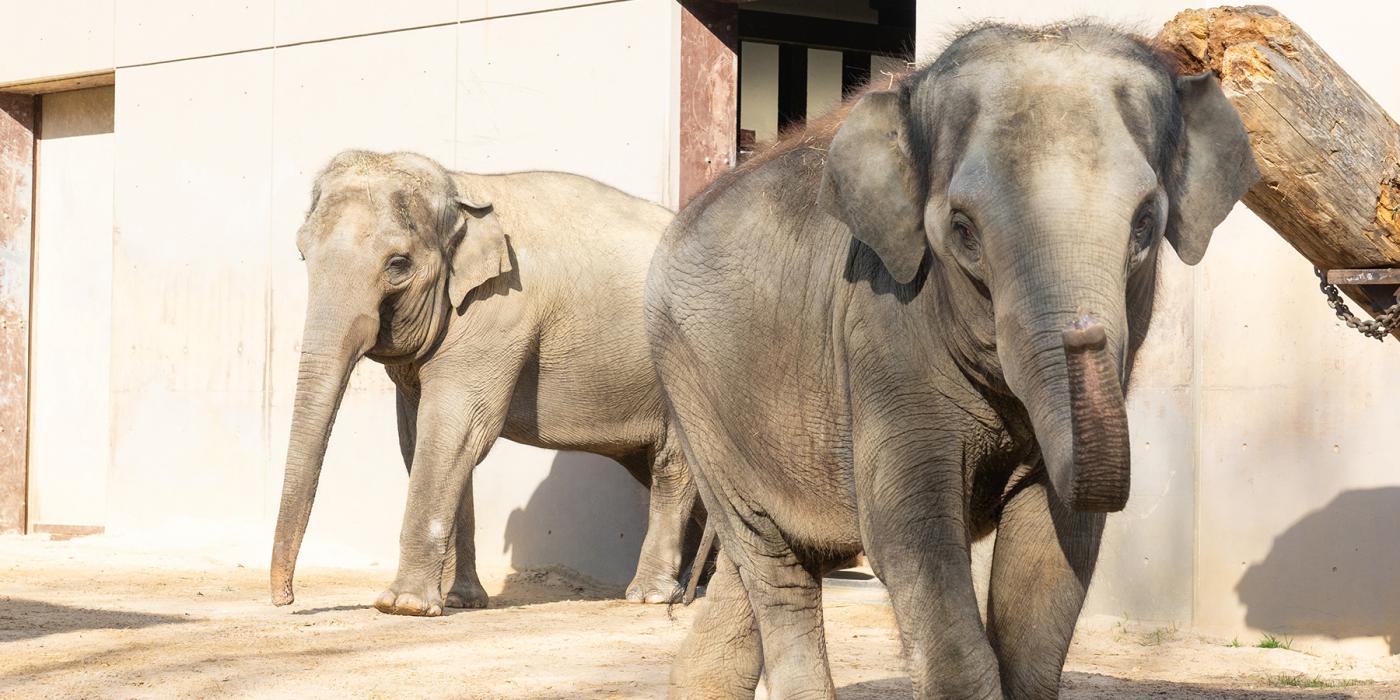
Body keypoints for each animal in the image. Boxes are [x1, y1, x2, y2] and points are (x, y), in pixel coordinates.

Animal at [268, 150, 700, 616]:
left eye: (398, 264)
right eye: (302, 254)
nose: (285, 599)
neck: (462, 189)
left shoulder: (499, 310)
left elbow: (455, 430)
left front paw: (403, 605)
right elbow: (424, 440)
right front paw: (462, 601)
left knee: (673, 463)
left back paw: (652, 595)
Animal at [644, 23, 1260, 700]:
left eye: (1145, 222)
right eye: (963, 230)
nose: (1084, 333)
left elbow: (1052, 556)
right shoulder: (881, 331)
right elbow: (912, 537)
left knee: (757, 571)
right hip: (694, 395)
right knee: (772, 564)